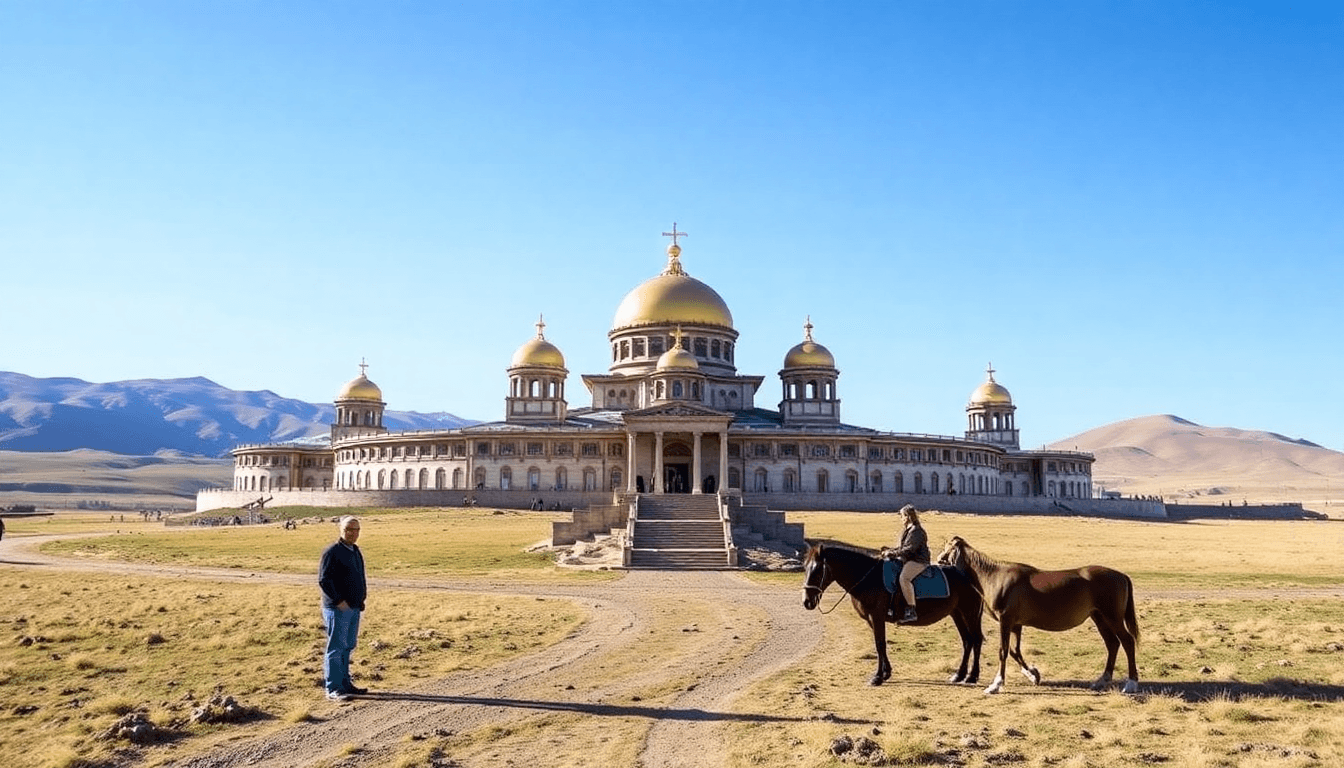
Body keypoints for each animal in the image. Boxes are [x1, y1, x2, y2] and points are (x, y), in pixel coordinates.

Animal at [801, 543, 983, 688]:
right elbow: (881, 645)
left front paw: (877, 677)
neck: (868, 578)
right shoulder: (872, 620)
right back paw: (959, 675)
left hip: (970, 613)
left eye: (817, 570)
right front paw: (886, 673)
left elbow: (880, 644)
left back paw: (972, 676)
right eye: (805, 568)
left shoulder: (877, 617)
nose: (807, 602)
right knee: (967, 641)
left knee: (976, 640)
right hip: (957, 614)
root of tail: (969, 576)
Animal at [935, 535, 1145, 699]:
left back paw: (1131, 683)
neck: (996, 577)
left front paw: (996, 685)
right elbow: (1015, 651)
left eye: (948, 548)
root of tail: (1122, 575)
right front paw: (1033, 675)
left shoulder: (1006, 621)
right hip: (1100, 618)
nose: (937, 561)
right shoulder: (1016, 625)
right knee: (1113, 644)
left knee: (1127, 642)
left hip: (1113, 618)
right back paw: (1102, 680)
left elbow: (1003, 651)